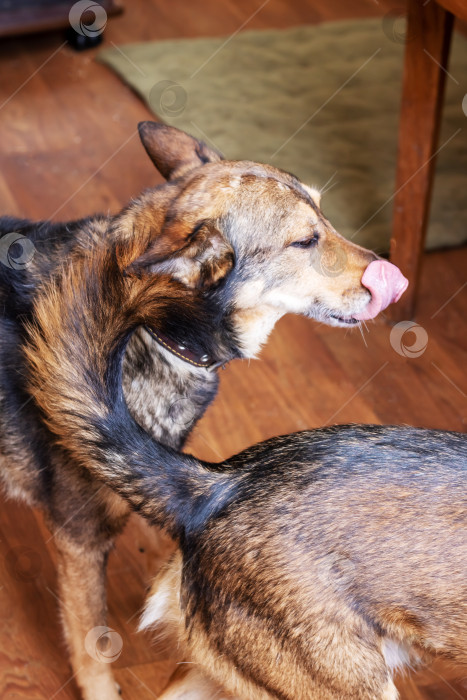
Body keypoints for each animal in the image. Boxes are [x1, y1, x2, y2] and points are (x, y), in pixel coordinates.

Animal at [1, 123, 406, 696]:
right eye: (304, 241)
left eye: (326, 217)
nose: (395, 279)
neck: (149, 325)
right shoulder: (81, 541)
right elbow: (92, 644)